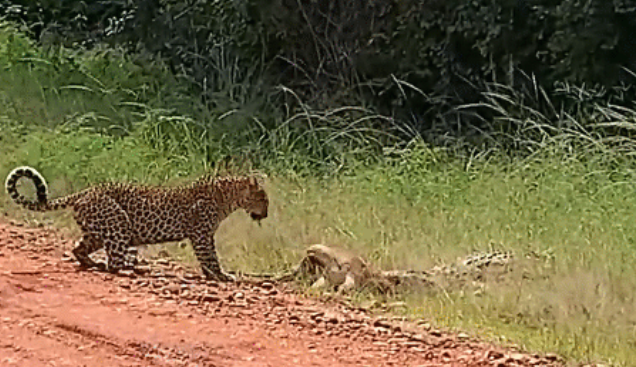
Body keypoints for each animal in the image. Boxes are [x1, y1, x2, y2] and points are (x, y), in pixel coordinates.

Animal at [3, 167, 266, 282]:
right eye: (263, 198)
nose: (265, 212)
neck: (227, 198)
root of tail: (84, 192)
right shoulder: (201, 233)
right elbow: (210, 257)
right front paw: (220, 276)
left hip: (98, 231)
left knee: (79, 249)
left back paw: (95, 263)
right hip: (117, 223)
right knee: (114, 263)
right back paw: (133, 269)